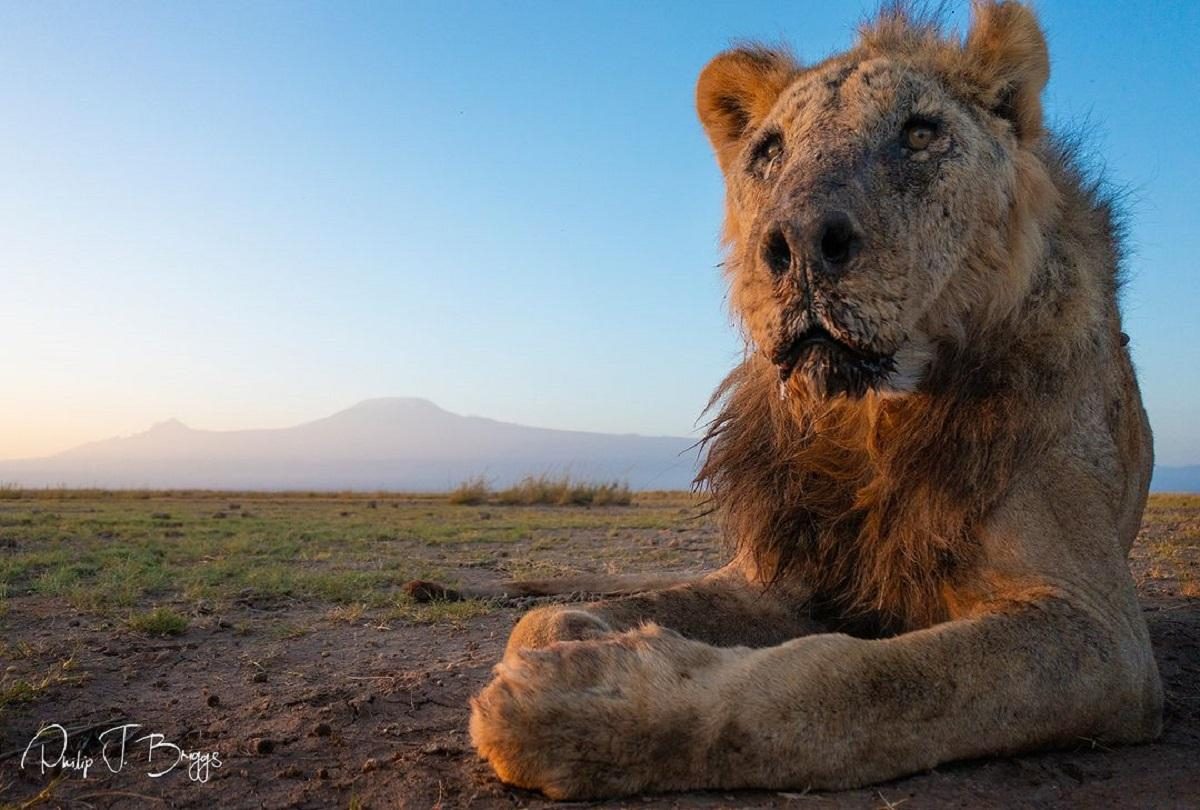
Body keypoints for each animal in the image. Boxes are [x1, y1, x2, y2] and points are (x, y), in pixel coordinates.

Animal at [451, 0, 1161, 796]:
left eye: (920, 133)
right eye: (768, 152)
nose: (795, 242)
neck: (868, 419)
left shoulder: (1100, 632)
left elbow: (852, 681)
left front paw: (590, 702)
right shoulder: (778, 576)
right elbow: (546, 620)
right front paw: (575, 642)